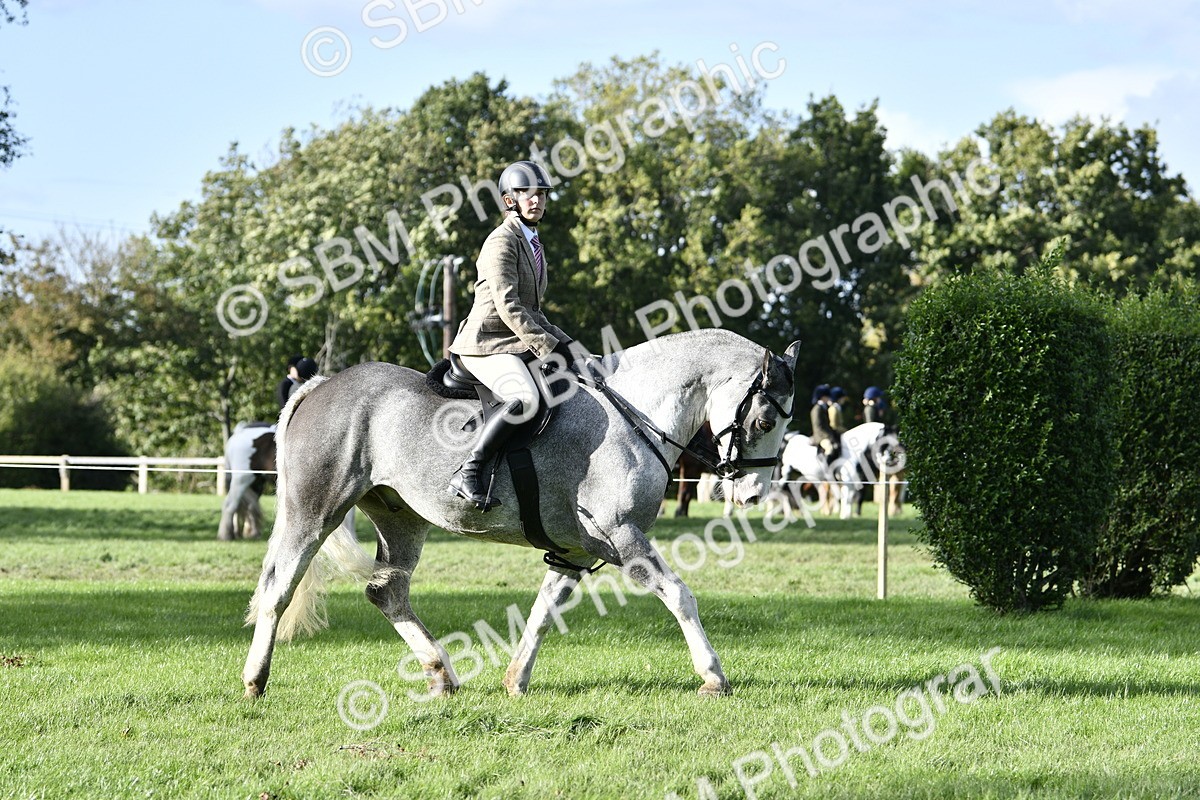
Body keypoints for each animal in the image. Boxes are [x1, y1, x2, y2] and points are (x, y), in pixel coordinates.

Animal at [242, 329, 800, 700]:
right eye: (764, 420)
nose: (753, 493)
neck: (635, 412)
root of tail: (321, 384)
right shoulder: (624, 536)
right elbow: (679, 595)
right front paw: (713, 675)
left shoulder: (576, 550)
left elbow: (543, 613)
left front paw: (516, 680)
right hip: (314, 512)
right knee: (278, 588)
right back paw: (255, 680)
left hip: (402, 520)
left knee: (387, 594)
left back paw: (441, 674)